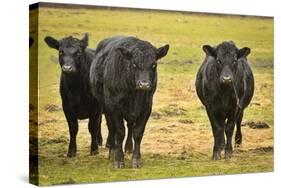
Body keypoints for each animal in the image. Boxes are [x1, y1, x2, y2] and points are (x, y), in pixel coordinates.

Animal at [90, 36, 168, 168]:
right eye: (134, 64)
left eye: (154, 64)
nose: (144, 84)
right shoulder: (114, 107)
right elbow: (119, 132)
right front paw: (118, 159)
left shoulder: (146, 108)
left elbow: (138, 132)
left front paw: (136, 160)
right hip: (106, 107)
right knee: (112, 128)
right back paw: (112, 151)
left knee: (130, 126)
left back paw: (128, 147)